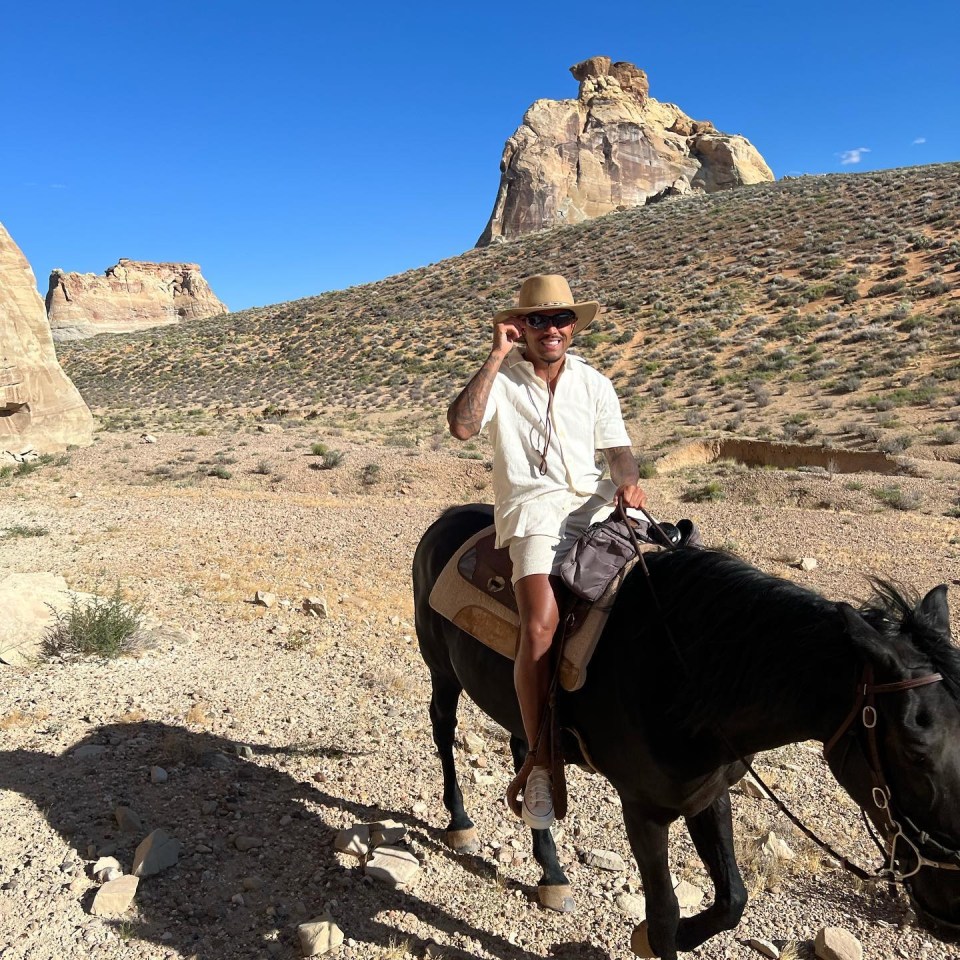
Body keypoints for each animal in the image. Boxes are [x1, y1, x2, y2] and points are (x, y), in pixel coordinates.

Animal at [412, 502, 960, 960]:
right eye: (915, 750)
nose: (951, 910)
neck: (685, 675)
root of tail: (447, 517)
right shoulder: (644, 810)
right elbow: (663, 914)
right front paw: (657, 934)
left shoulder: (708, 794)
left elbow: (732, 898)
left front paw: (673, 934)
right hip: (441, 669)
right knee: (444, 730)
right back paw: (460, 823)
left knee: (525, 748)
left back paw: (552, 872)